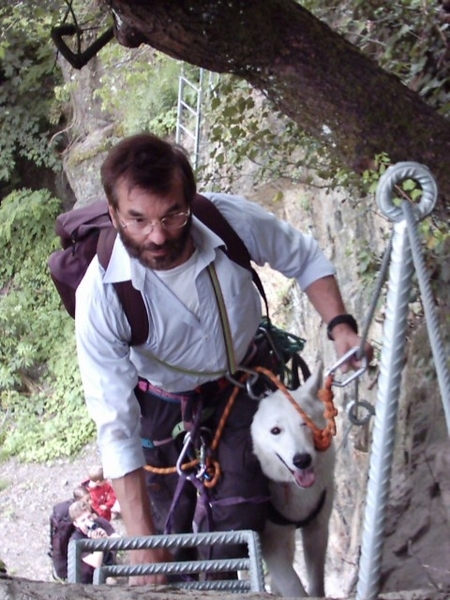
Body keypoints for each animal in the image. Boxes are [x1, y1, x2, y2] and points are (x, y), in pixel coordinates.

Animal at [251, 364, 336, 596]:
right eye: (275, 431)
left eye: (305, 423)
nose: (302, 460)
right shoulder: (270, 542)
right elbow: (293, 585)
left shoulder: (317, 530)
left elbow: (316, 583)